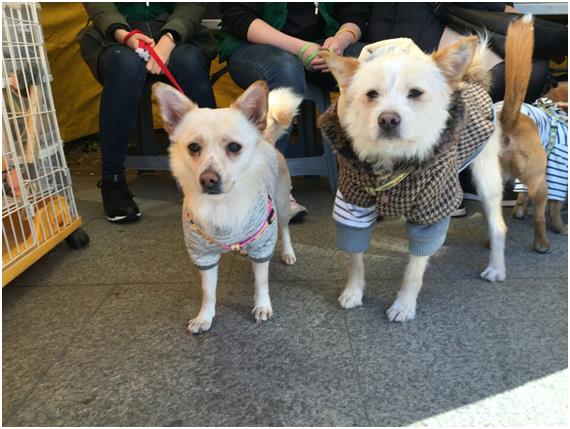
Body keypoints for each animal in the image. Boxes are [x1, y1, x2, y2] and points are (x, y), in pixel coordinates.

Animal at [316, 29, 520, 320]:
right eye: (371, 94)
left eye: (415, 93)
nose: (388, 119)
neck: (393, 162)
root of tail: (471, 79)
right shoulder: (352, 207)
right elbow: (355, 258)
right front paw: (353, 292)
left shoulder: (429, 209)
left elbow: (413, 271)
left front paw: (403, 305)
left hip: (486, 179)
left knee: (498, 226)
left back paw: (496, 268)